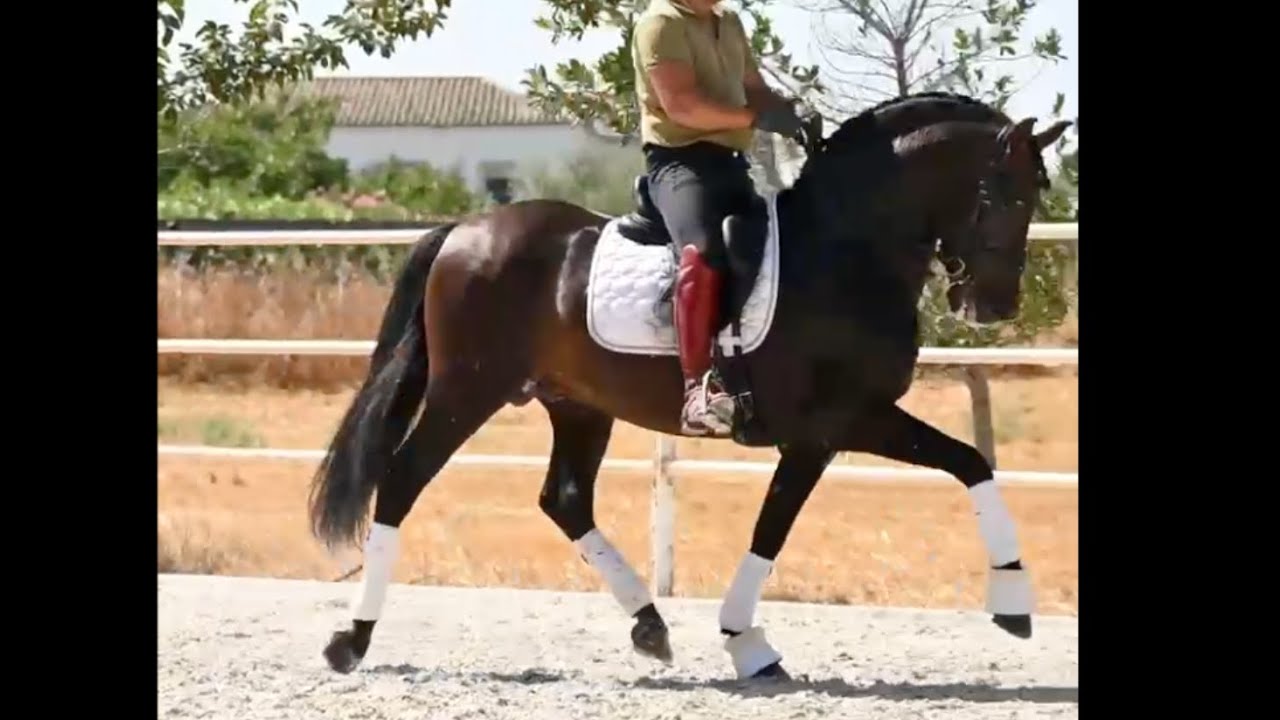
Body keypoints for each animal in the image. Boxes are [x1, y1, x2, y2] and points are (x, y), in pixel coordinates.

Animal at [306, 91, 1073, 681]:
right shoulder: (833, 425)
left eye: (1036, 194)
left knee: (564, 499)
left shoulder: (850, 423)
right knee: (401, 481)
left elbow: (967, 464)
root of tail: (465, 230)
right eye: (1001, 192)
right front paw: (746, 642)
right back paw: (352, 640)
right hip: (467, 391)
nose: (994, 306)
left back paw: (650, 626)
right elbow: (777, 525)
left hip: (576, 404)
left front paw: (1013, 602)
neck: (844, 250)